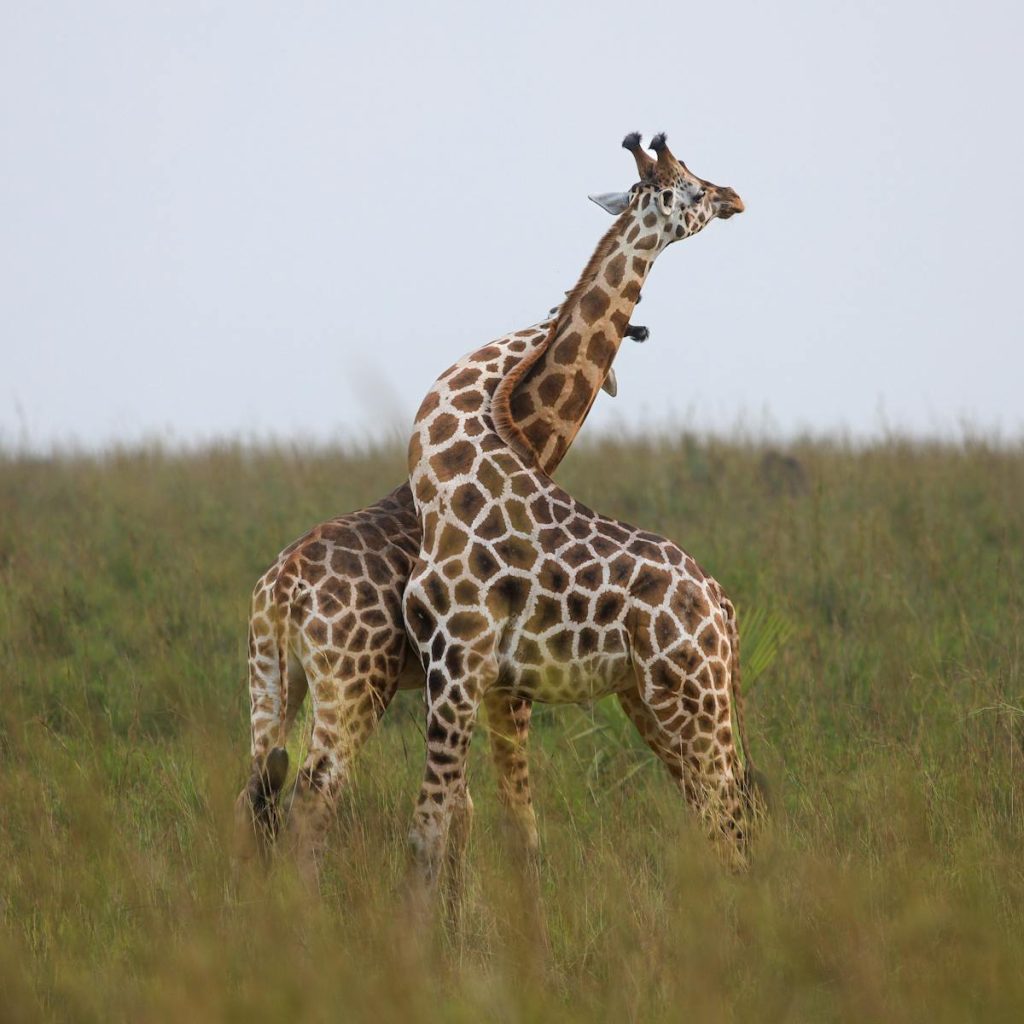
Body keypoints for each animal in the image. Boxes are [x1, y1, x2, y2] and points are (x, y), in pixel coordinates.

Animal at [235, 303, 647, 888]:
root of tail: (282, 587)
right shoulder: (484, 676)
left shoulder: (447, 676)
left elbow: (460, 806)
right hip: (352, 683)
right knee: (314, 795)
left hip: (272, 674)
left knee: (255, 787)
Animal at [401, 133, 754, 898]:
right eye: (690, 185)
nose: (735, 196)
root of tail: (722, 607)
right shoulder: (465, 672)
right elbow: (465, 827)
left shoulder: (466, 666)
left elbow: (448, 829)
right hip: (657, 701)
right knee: (722, 820)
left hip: (692, 699)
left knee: (730, 823)